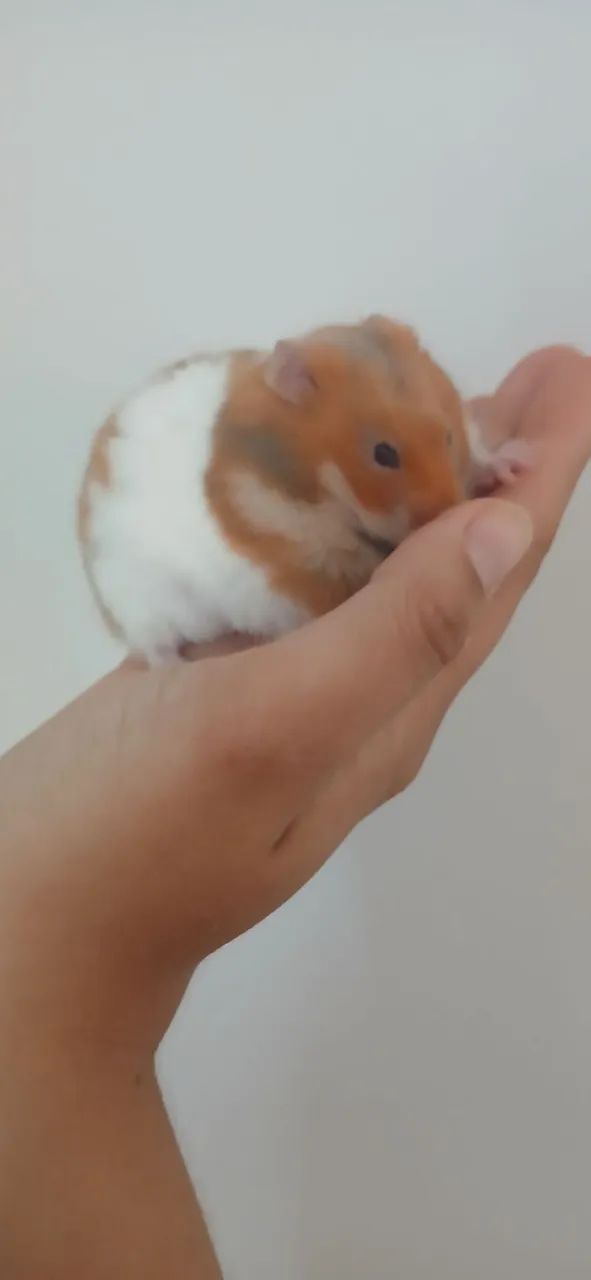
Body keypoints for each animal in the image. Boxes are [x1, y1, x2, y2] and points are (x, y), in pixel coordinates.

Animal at [78, 314, 530, 664]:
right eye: (383, 454)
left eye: (448, 436)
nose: (447, 511)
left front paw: (514, 466)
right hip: (138, 605)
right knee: (152, 648)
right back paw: (177, 665)